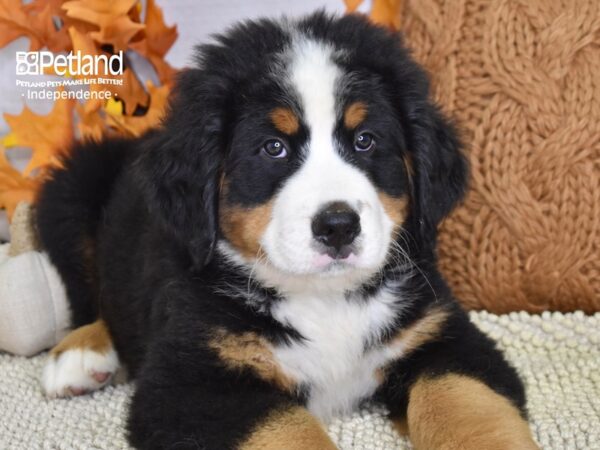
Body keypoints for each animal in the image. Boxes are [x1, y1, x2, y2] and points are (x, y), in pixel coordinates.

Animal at [34, 10, 540, 450]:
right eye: (273, 147)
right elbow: (289, 431)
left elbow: (467, 408)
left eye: (365, 140)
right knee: (92, 299)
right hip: (69, 190)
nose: (338, 226)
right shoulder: (192, 385)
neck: (327, 299)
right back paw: (81, 354)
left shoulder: (444, 338)